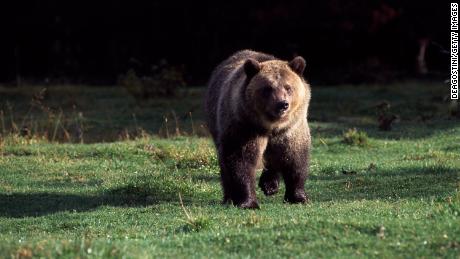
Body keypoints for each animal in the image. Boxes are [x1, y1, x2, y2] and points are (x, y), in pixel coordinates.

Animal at [206, 50, 310, 209]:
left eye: (288, 87)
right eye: (268, 88)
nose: (282, 104)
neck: (271, 125)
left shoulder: (291, 129)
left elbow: (295, 158)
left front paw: (298, 197)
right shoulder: (244, 126)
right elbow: (241, 160)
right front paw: (248, 202)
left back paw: (270, 185)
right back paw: (229, 197)